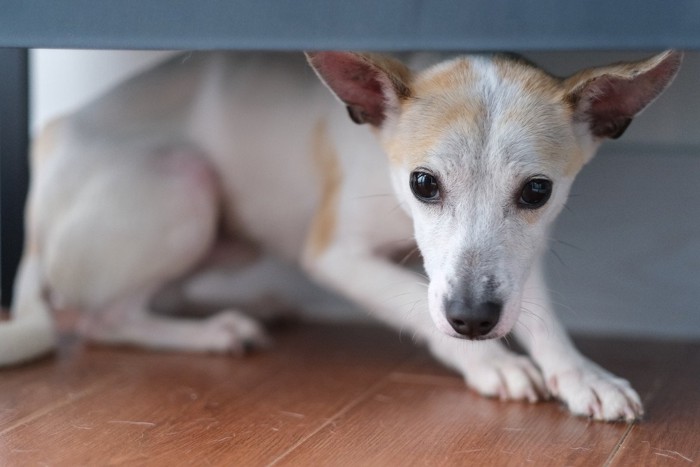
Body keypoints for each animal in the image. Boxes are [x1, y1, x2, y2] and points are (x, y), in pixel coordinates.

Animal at [0, 49, 680, 422]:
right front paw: (492, 363)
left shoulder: (518, 262)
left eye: (537, 192)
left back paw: (248, 307)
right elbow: (415, 304)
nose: (472, 319)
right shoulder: (337, 255)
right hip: (188, 184)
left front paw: (580, 374)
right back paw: (213, 331)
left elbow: (542, 318)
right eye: (423, 183)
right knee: (99, 319)